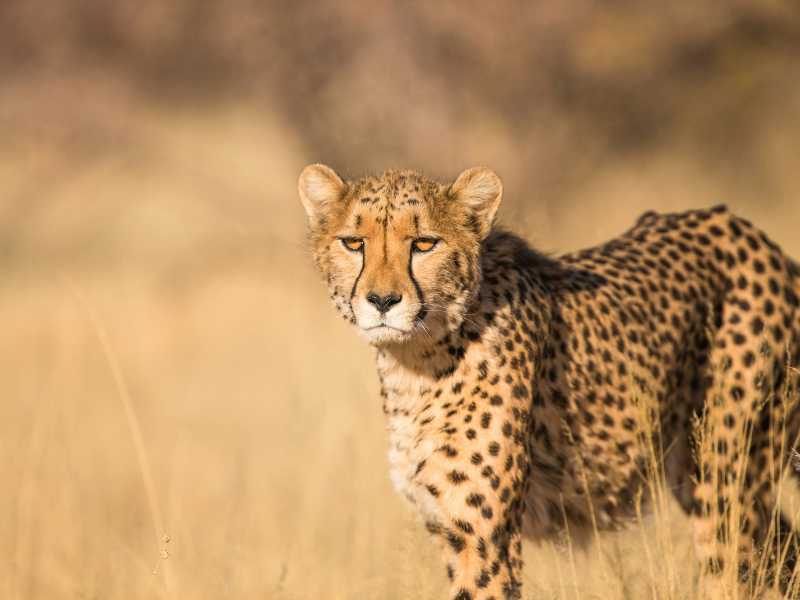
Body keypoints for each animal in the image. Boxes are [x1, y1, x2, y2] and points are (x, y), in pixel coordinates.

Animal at [297, 164, 800, 599]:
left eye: (423, 244)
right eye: (353, 242)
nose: (382, 301)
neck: (416, 361)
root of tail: (748, 231)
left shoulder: (486, 539)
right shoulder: (448, 530)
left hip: (727, 484)